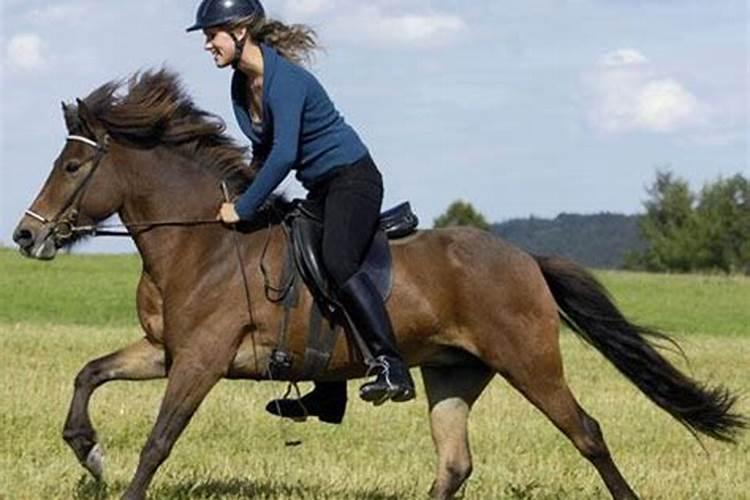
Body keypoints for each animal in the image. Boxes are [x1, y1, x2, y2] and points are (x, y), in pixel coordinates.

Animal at [11, 70, 748, 500]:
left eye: (72, 165)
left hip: (530, 362)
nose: (24, 236)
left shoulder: (201, 360)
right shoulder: (167, 350)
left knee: (587, 433)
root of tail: (523, 259)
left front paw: (112, 469)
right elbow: (88, 374)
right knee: (455, 464)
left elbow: (159, 441)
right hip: (453, 372)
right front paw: (89, 453)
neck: (203, 240)